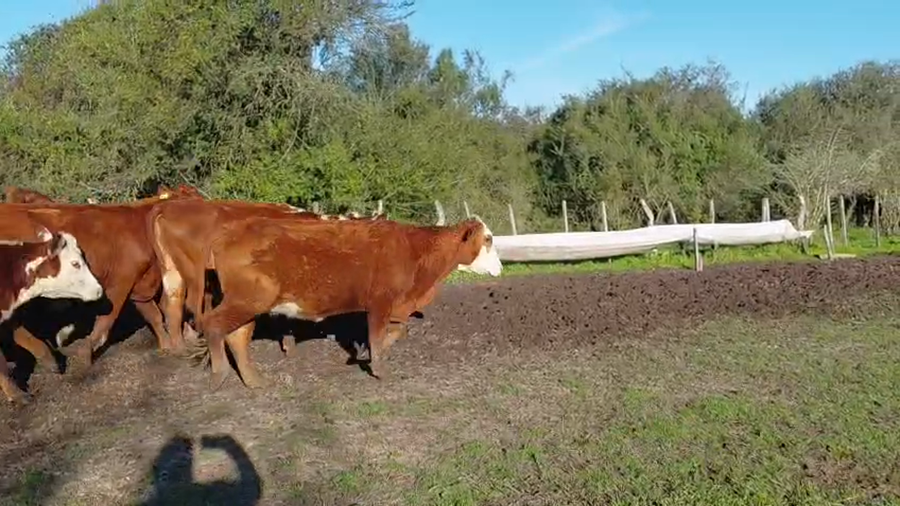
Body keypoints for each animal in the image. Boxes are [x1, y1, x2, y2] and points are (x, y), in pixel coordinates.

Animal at [184, 215, 501, 390]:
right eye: (487, 239)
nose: (499, 267)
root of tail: (229, 233)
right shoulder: (380, 302)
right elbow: (377, 336)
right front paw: (378, 367)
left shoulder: (395, 306)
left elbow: (396, 331)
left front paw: (366, 354)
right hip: (247, 300)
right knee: (214, 325)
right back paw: (220, 374)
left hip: (249, 305)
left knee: (237, 337)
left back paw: (253, 380)